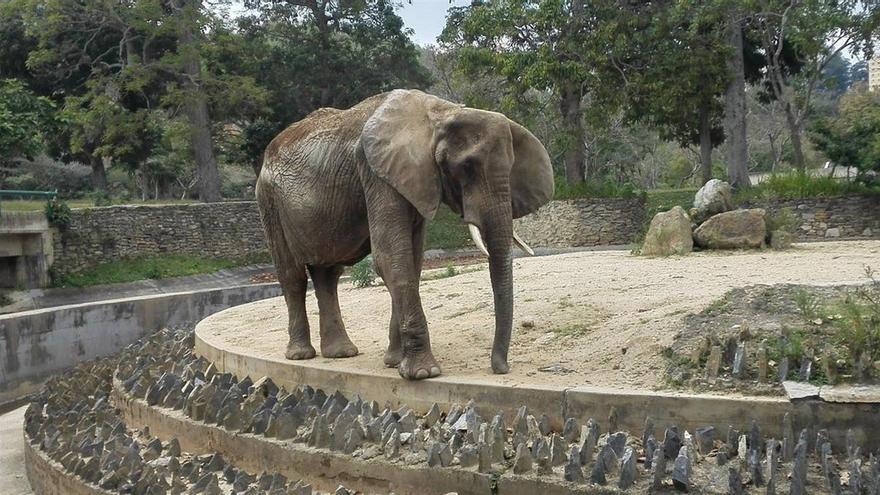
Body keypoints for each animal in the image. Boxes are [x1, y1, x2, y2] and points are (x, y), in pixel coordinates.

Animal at [254, 89, 552, 380]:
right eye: (466, 168)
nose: (500, 369)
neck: (442, 112)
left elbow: (414, 259)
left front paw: (394, 362)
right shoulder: (375, 172)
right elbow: (391, 258)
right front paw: (423, 373)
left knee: (328, 274)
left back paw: (341, 354)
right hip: (268, 202)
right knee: (293, 276)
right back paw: (301, 355)